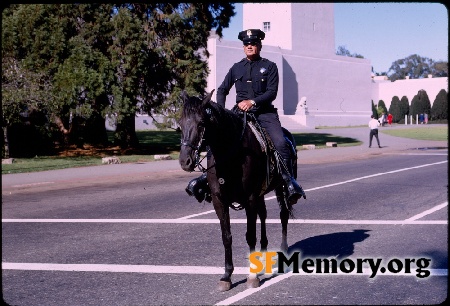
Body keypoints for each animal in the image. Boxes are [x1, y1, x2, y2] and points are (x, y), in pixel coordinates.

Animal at [178, 89, 300, 292]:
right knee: (263, 215)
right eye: (180, 123)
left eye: (201, 122)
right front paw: (227, 276)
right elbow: (226, 237)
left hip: (280, 188)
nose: (184, 161)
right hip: (261, 194)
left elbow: (250, 236)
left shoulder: (249, 198)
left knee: (283, 215)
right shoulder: (220, 201)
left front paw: (252, 276)